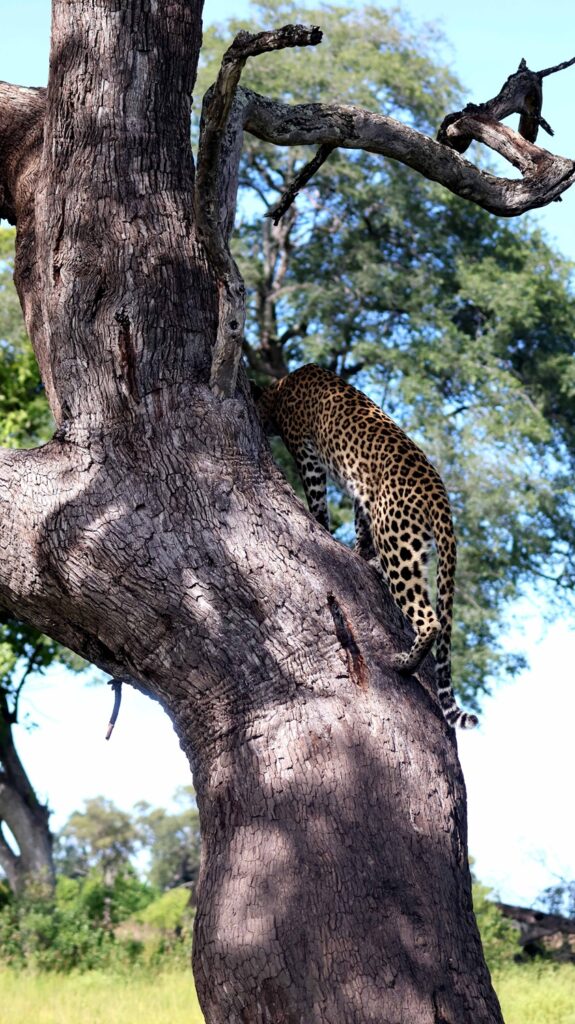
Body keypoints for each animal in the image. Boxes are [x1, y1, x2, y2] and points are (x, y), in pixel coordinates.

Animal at [254, 363, 478, 730]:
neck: (282, 387)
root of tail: (439, 496)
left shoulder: (306, 452)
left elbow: (318, 500)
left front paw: (322, 526)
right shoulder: (362, 491)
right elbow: (361, 524)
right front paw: (360, 552)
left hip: (397, 542)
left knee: (428, 619)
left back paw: (404, 664)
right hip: (415, 548)